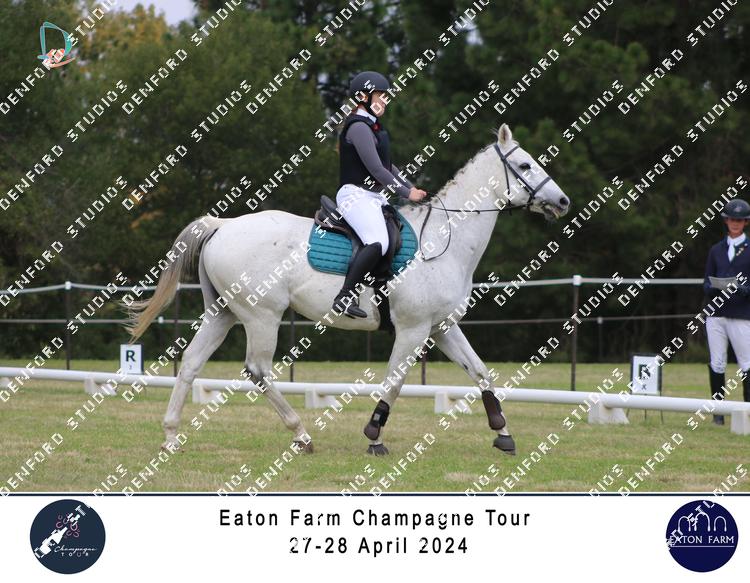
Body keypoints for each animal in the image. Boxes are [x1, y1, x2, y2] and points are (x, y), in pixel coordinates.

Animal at [125, 123, 570, 456]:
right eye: (525, 165)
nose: (563, 201)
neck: (444, 239)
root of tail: (224, 225)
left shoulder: (442, 327)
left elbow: (480, 371)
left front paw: (503, 432)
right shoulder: (413, 330)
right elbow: (395, 382)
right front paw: (374, 437)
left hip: (223, 313)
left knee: (191, 363)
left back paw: (171, 436)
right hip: (261, 316)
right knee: (258, 369)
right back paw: (301, 434)